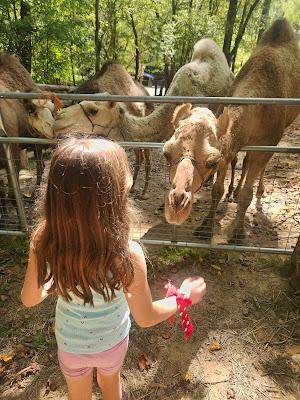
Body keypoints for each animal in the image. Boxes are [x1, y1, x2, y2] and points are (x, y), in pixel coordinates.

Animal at [163, 18, 300, 245]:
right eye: (166, 153)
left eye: (211, 161)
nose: (176, 204)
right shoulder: (229, 146)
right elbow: (216, 190)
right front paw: (205, 228)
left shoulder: (266, 142)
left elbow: (247, 194)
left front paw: (237, 234)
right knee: (244, 161)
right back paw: (232, 192)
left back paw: (257, 192)